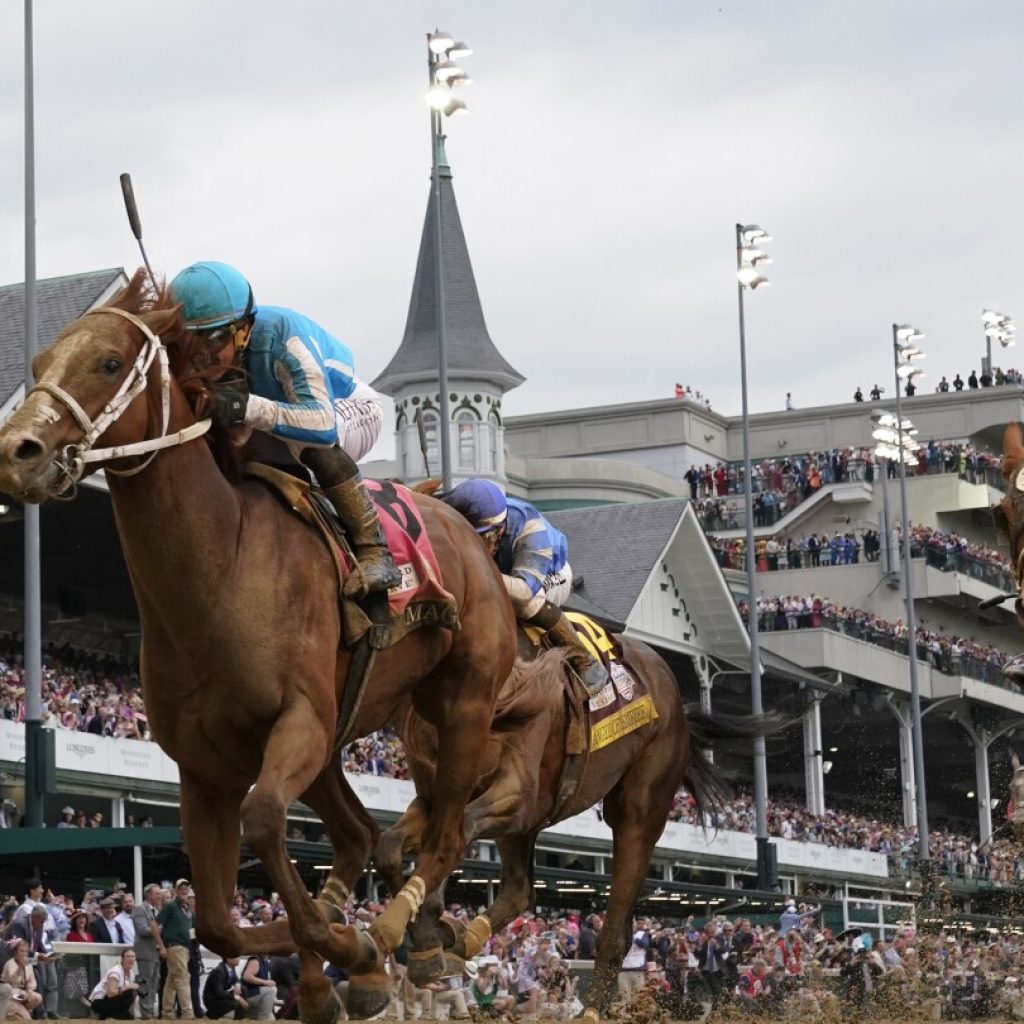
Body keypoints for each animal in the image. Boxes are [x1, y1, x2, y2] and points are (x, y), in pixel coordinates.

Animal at [0, 274, 516, 1024]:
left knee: (444, 831)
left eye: (108, 363)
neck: (222, 570)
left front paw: (354, 942)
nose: (18, 451)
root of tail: (465, 525)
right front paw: (341, 955)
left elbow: (267, 818)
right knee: (361, 834)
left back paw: (411, 935)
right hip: (341, 741)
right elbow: (216, 922)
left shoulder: (298, 721)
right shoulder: (203, 767)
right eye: (38, 362)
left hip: (460, 706)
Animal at [376, 630, 782, 1015]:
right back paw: (460, 942)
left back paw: (589, 1009)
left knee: (614, 932)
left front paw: (424, 929)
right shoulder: (438, 797)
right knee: (520, 890)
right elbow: (392, 845)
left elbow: (453, 837)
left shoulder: (519, 794)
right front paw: (419, 932)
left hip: (639, 808)